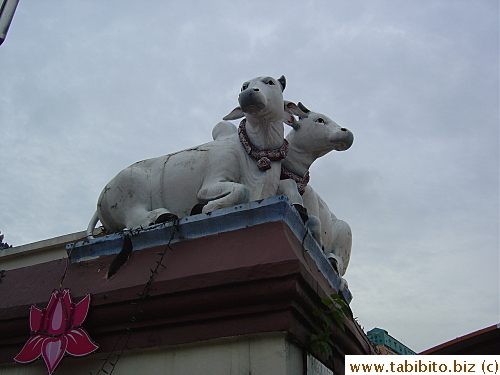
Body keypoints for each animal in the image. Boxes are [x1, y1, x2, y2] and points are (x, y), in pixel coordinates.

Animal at [86, 76, 306, 239]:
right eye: (244, 85)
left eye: (270, 82)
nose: (247, 93)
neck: (254, 152)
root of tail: (101, 198)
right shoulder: (214, 178)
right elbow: (240, 190)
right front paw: (202, 208)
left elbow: (289, 186)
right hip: (130, 186)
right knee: (134, 218)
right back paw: (161, 216)